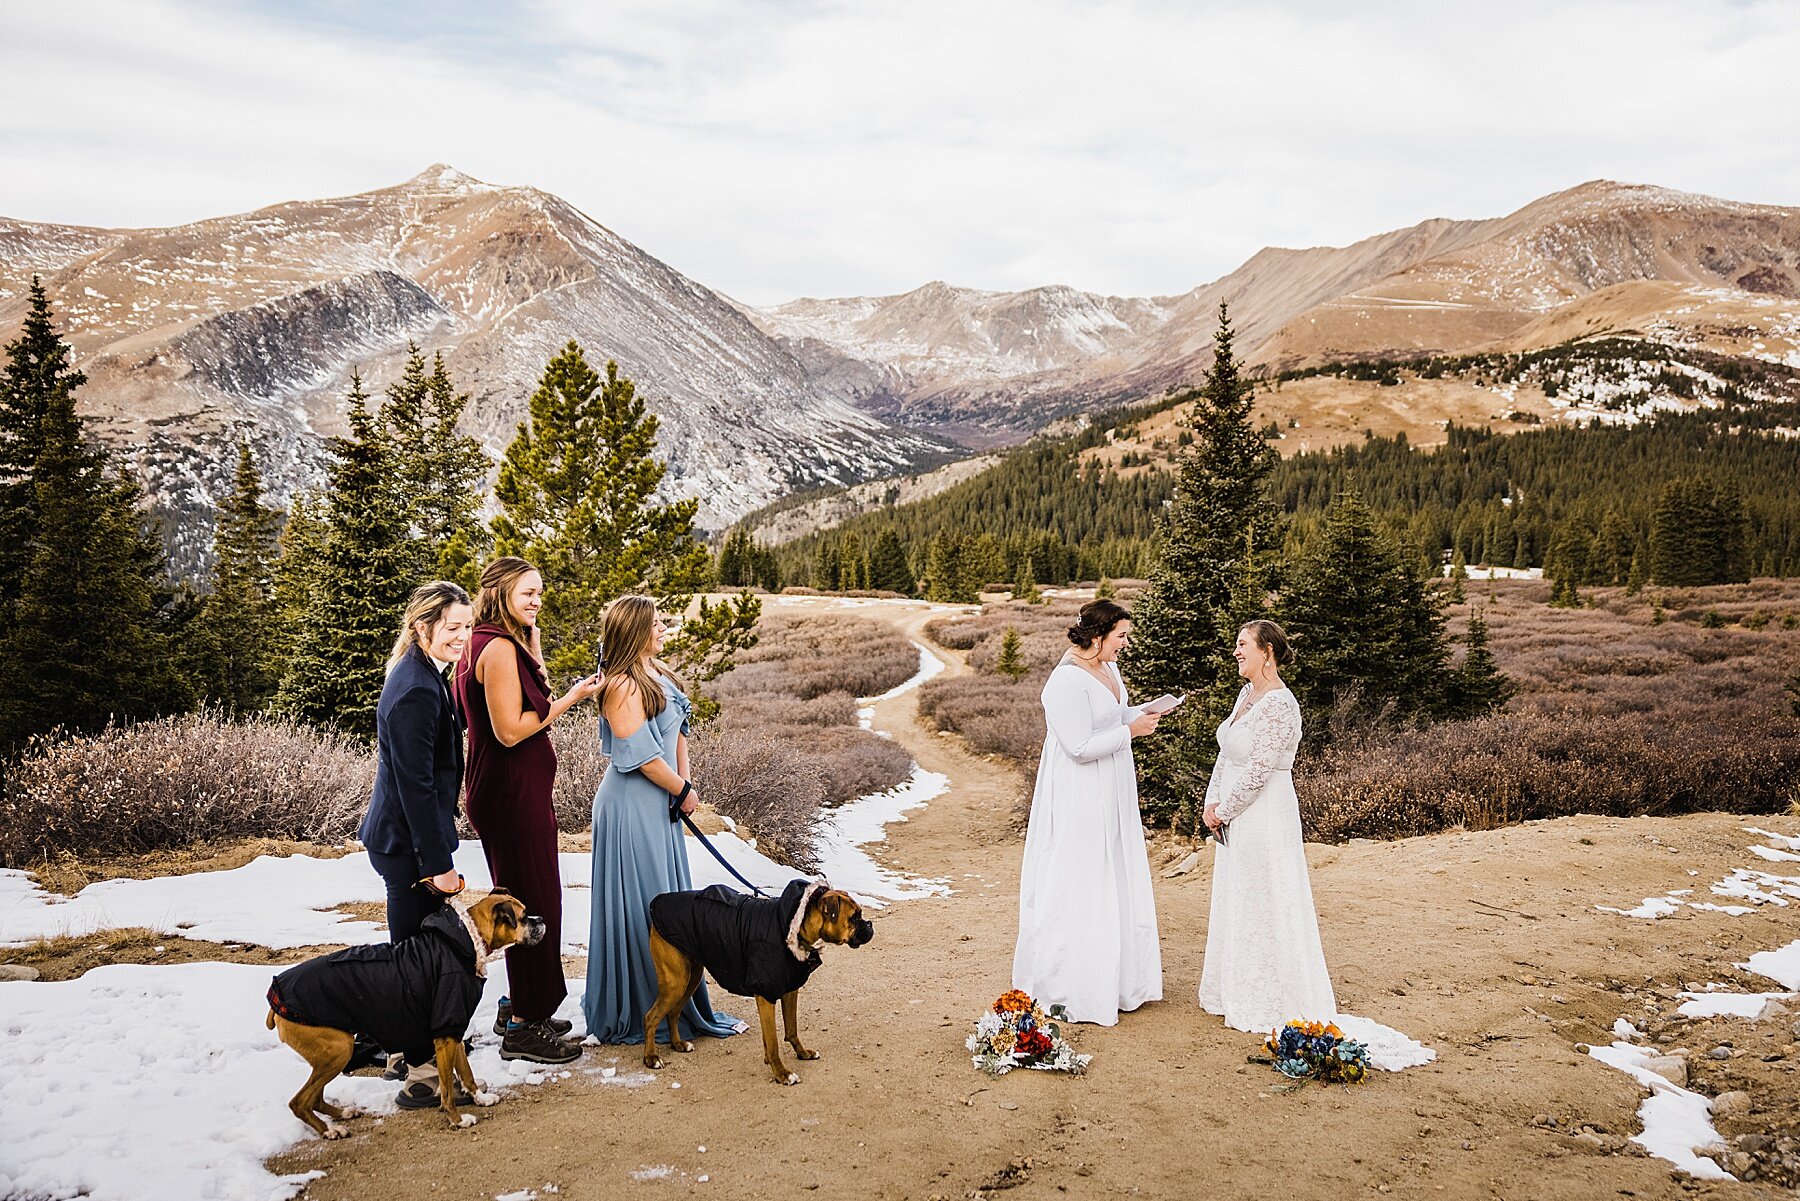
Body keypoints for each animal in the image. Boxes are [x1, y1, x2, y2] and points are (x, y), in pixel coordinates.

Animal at [262, 893, 540, 1137]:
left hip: (330, 1054)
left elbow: (466, 1072)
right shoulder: (445, 1037)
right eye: (523, 917)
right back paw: (330, 1130)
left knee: (315, 1097)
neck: (468, 937)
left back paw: (341, 1115)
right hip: (338, 1050)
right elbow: (447, 1086)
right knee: (300, 1101)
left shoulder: (453, 1031)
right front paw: (456, 1119)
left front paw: (480, 1098)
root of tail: (274, 1000)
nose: (540, 920)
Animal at [644, 878, 874, 1087]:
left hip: (690, 978)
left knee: (673, 1013)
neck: (793, 926)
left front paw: (801, 1054)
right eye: (854, 917)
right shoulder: (766, 994)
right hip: (676, 982)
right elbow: (772, 1041)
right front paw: (781, 1073)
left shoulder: (790, 990)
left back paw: (677, 1044)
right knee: (651, 1017)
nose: (869, 924)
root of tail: (658, 902)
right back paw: (651, 1058)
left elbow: (791, 1029)